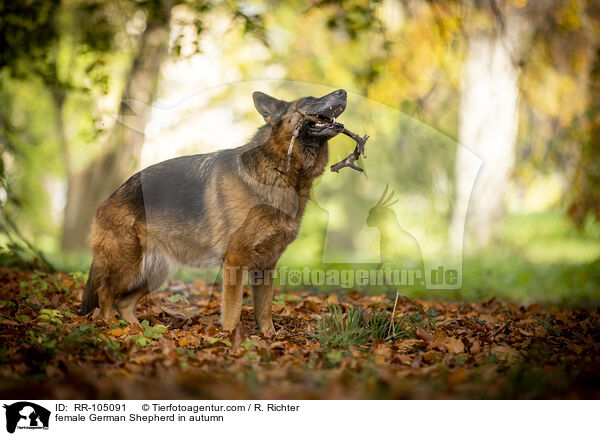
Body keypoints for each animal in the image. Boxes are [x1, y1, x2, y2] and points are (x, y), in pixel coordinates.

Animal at [79, 89, 346, 334]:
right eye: (309, 100)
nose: (343, 92)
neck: (279, 169)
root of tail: (109, 198)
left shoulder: (266, 266)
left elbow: (264, 309)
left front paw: (268, 337)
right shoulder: (236, 261)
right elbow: (233, 309)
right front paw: (231, 340)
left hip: (156, 273)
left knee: (124, 303)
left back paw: (138, 330)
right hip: (128, 265)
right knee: (105, 295)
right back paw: (112, 328)